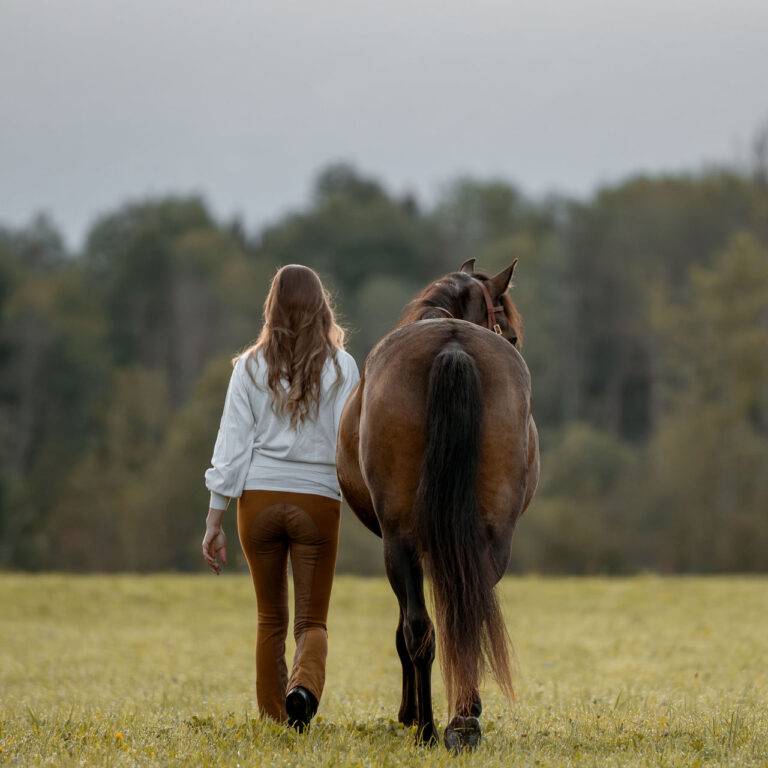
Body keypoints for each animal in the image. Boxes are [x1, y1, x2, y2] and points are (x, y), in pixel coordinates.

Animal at [336, 256, 540, 752]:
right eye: (511, 334)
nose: (513, 341)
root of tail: (452, 347)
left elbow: (403, 628)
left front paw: (410, 713)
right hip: (481, 539)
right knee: (456, 620)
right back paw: (458, 722)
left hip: (400, 543)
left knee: (422, 627)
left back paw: (432, 725)